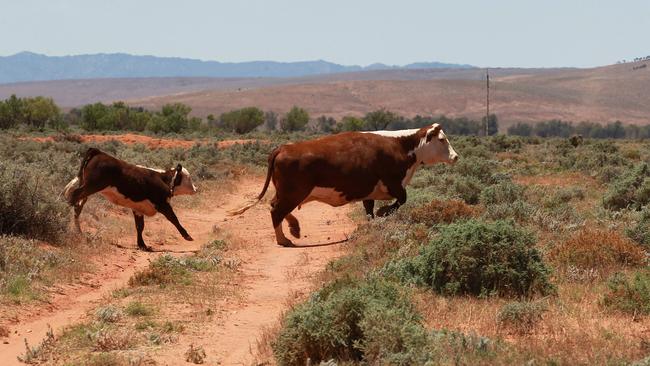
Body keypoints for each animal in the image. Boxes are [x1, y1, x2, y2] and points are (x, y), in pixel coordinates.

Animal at [63, 147, 196, 250]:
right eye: (188, 178)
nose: (196, 188)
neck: (163, 179)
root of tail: (99, 152)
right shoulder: (163, 205)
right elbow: (174, 219)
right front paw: (187, 236)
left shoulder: (138, 209)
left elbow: (139, 227)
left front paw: (142, 245)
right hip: (91, 186)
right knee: (74, 196)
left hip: (87, 187)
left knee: (78, 205)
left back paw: (78, 231)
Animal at [230, 123, 458, 246]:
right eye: (442, 139)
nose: (455, 156)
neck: (401, 145)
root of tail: (284, 147)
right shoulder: (394, 184)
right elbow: (401, 199)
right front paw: (384, 212)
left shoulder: (369, 192)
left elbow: (369, 210)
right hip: (293, 193)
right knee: (276, 210)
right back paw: (284, 239)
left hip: (287, 193)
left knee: (274, 206)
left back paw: (294, 228)